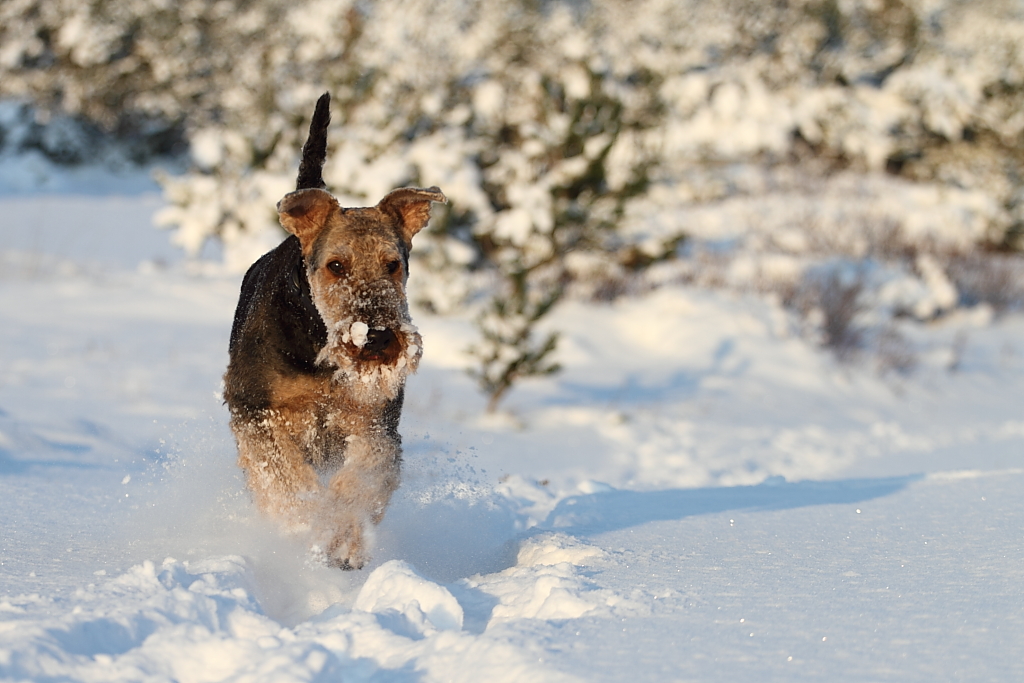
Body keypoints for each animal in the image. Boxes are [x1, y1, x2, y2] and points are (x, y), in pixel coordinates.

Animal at [222, 92, 446, 573]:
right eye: (336, 265)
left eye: (393, 264)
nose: (376, 337)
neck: (318, 342)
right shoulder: (254, 410)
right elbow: (285, 477)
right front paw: (306, 522)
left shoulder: (374, 425)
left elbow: (362, 479)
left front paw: (344, 539)